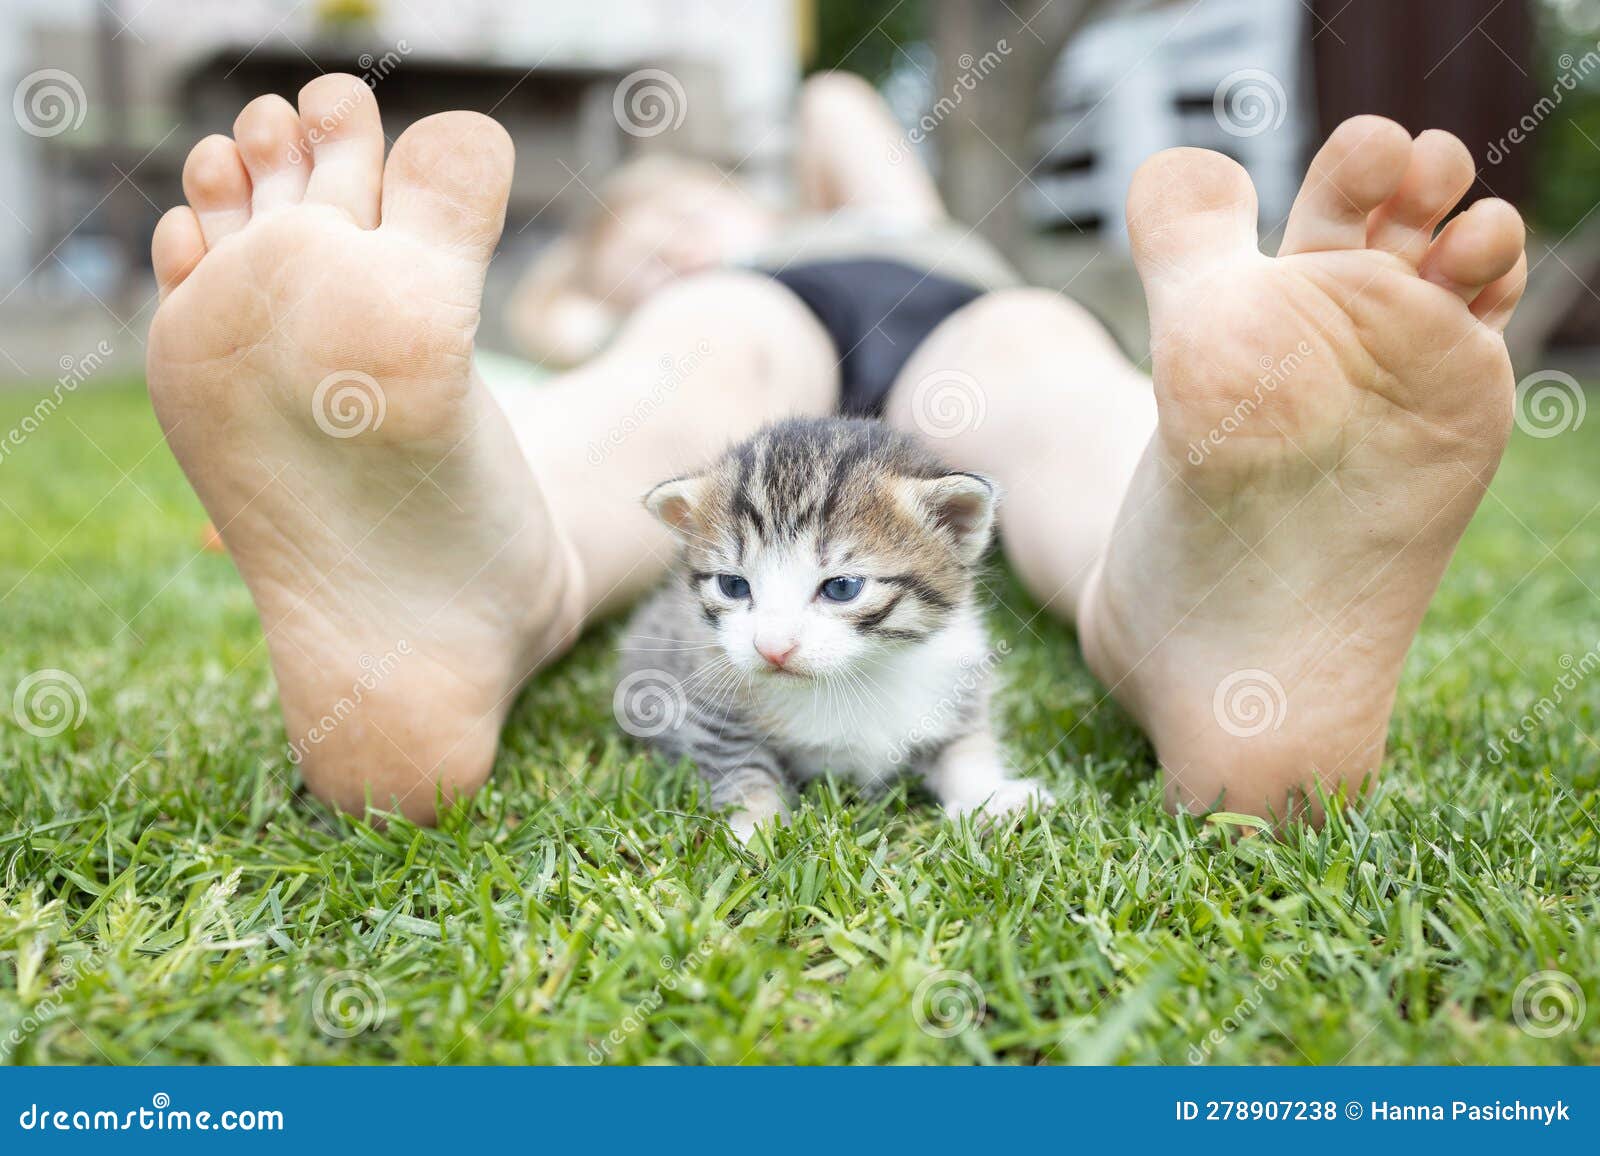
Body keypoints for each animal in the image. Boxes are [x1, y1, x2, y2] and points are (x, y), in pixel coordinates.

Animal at [617, 413, 1056, 838]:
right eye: (733, 585)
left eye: (842, 587)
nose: (772, 648)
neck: (852, 677)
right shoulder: (705, 704)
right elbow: (743, 768)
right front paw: (756, 829)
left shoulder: (958, 679)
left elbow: (965, 746)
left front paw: (989, 796)